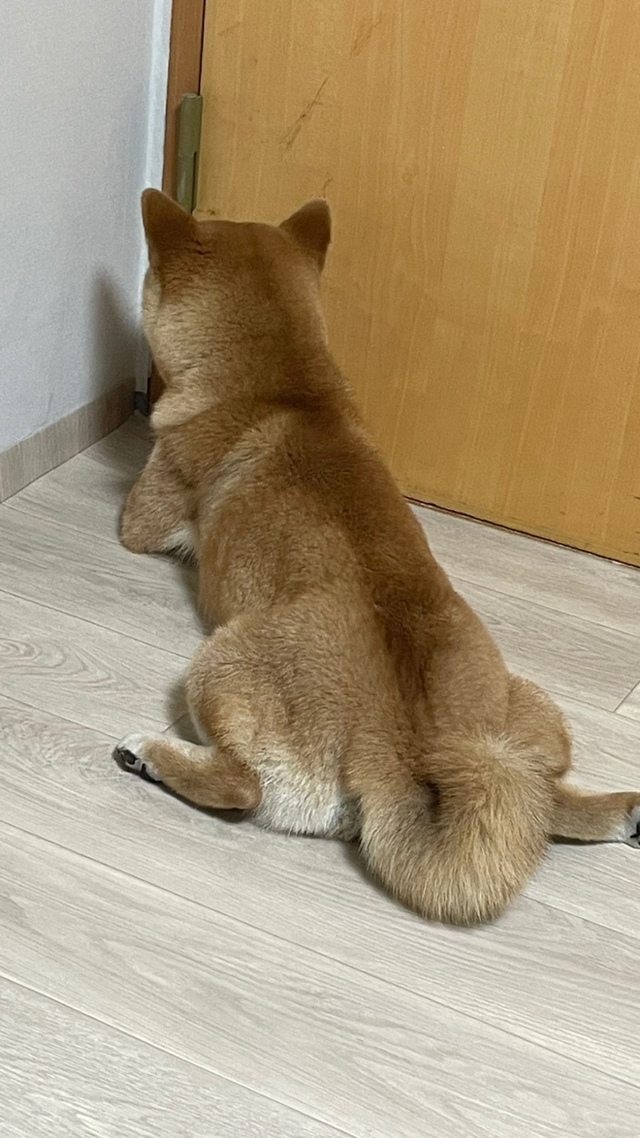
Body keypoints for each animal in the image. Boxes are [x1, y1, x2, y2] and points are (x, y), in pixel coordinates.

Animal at [114, 188, 640, 925]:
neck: (287, 388)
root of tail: (404, 750)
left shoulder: (144, 515)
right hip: (527, 726)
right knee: (542, 802)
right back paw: (623, 813)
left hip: (216, 665)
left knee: (242, 788)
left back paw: (152, 757)